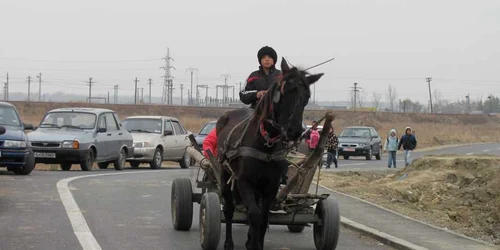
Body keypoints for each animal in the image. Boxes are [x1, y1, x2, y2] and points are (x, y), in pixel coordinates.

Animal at [217, 57, 322, 249]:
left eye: (307, 97)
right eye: (284, 92)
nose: (294, 131)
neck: (265, 144)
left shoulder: (271, 185)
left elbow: (263, 218)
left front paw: (255, 242)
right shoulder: (244, 182)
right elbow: (255, 215)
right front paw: (252, 243)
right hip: (225, 173)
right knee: (229, 209)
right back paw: (229, 242)